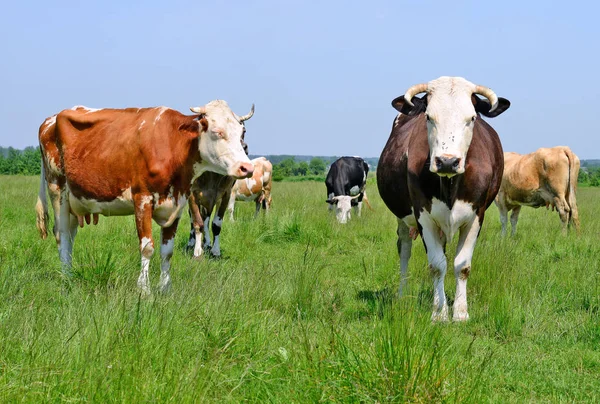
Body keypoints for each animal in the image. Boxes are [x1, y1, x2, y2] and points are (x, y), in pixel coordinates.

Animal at [35, 100, 255, 294]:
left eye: (242, 132)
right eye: (217, 132)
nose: (247, 168)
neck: (173, 145)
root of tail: (51, 119)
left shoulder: (178, 203)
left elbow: (167, 251)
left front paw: (165, 288)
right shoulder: (142, 199)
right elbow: (147, 247)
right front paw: (144, 289)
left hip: (75, 201)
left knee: (71, 235)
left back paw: (70, 271)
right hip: (57, 189)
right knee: (62, 234)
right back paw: (66, 278)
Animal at [378, 76, 508, 322]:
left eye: (472, 118)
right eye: (428, 116)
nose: (447, 161)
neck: (449, 184)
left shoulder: (476, 216)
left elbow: (462, 265)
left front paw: (460, 312)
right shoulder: (423, 216)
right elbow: (437, 265)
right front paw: (439, 313)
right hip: (403, 218)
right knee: (405, 250)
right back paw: (402, 294)